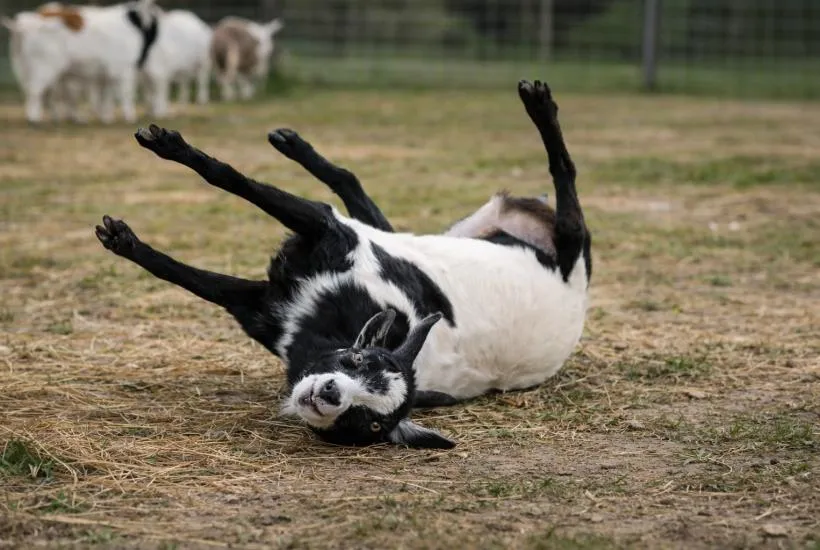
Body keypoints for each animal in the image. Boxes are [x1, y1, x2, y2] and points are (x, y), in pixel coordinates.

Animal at [95, 80, 591, 449]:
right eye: (356, 360)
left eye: (368, 423)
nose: (332, 393)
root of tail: (576, 285)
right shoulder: (312, 248)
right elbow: (223, 193)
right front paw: (159, 167)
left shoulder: (276, 284)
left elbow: (205, 236)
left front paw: (128, 233)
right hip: (437, 234)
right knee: (355, 186)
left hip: (568, 240)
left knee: (566, 177)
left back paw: (541, 107)